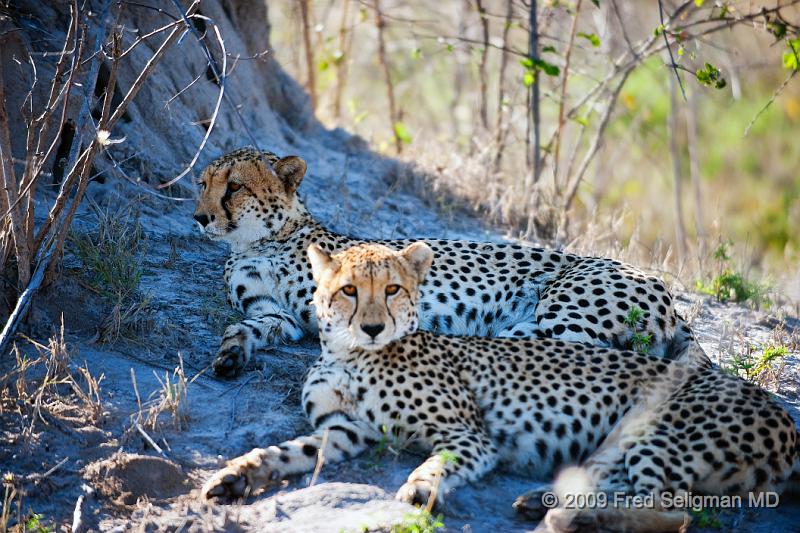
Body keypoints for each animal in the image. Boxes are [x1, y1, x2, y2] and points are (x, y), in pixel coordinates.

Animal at [194, 147, 708, 378]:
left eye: (234, 186)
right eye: (203, 183)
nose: (199, 217)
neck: (259, 243)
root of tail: (667, 294)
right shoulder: (275, 314)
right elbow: (247, 325)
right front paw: (230, 353)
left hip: (567, 312)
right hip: (526, 326)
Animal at [205, 243, 800, 528]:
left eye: (393, 288)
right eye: (349, 290)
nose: (372, 326)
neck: (353, 356)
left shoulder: (470, 436)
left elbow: (436, 464)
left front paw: (418, 491)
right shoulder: (348, 431)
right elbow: (285, 451)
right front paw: (235, 476)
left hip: (656, 433)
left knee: (671, 511)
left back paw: (565, 516)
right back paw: (545, 502)